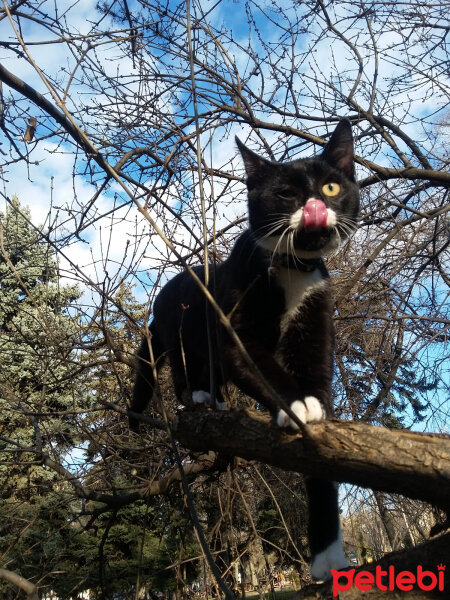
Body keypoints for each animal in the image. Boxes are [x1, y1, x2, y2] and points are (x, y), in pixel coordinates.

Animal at [129, 118, 358, 580]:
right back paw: (199, 397)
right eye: (285, 193)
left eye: (330, 187)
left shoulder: (315, 321)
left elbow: (318, 392)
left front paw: (329, 556)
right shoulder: (237, 329)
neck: (292, 271)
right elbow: (262, 368)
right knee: (185, 371)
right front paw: (297, 404)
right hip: (180, 334)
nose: (314, 205)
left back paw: (215, 398)